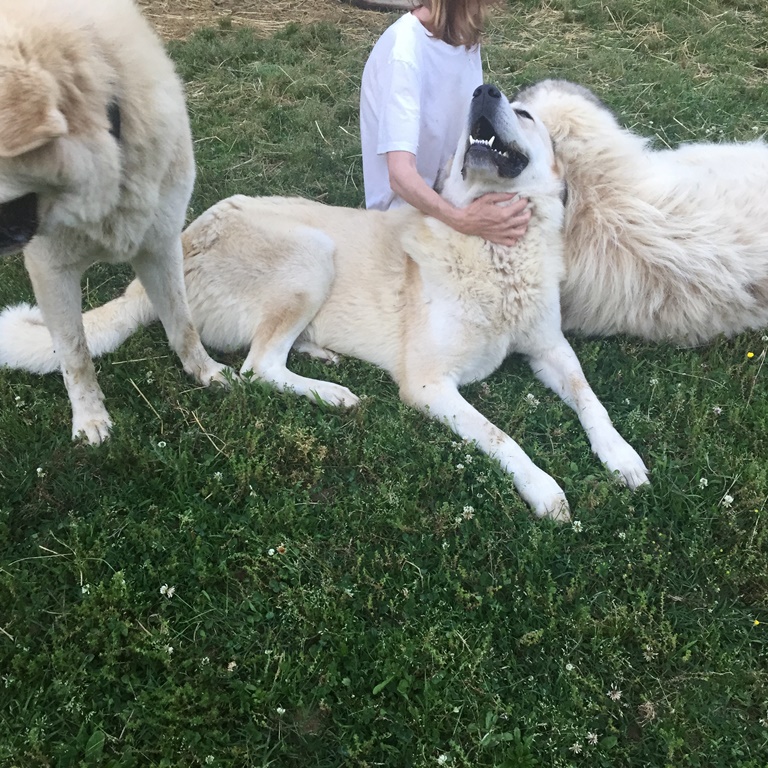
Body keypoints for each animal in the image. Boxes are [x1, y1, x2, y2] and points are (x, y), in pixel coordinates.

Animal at [0, 0, 228, 444]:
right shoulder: (51, 271)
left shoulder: (161, 247)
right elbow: (75, 353)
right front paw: (89, 419)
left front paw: (205, 371)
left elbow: (183, 323)